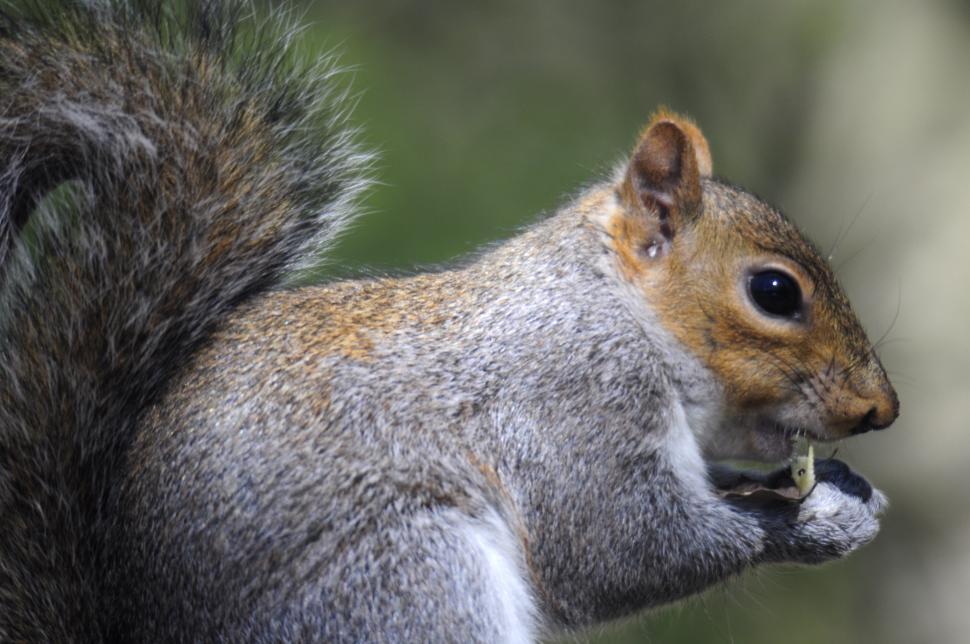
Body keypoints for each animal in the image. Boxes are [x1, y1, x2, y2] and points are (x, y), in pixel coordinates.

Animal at [0, 1, 899, 642]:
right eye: (774, 291)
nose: (880, 410)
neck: (612, 304)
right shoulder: (570, 401)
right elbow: (616, 550)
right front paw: (806, 523)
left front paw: (833, 485)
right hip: (408, 578)